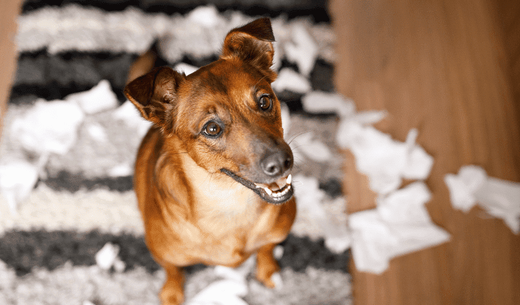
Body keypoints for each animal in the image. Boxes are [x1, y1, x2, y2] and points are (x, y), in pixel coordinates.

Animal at [122, 17, 298, 302]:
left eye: (264, 101)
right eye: (212, 129)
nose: (282, 162)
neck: (229, 203)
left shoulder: (274, 236)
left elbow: (266, 249)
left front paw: (268, 270)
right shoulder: (166, 257)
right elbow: (173, 271)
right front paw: (172, 293)